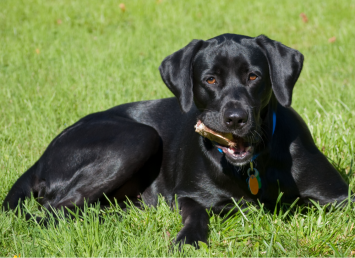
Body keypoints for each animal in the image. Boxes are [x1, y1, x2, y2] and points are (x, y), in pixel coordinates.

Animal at [2, 33, 350, 246]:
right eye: (210, 80)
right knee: (50, 211)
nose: (235, 118)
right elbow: (197, 214)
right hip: (139, 137)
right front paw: (189, 239)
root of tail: (42, 155)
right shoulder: (190, 194)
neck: (252, 165)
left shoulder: (339, 197)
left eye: (254, 76)